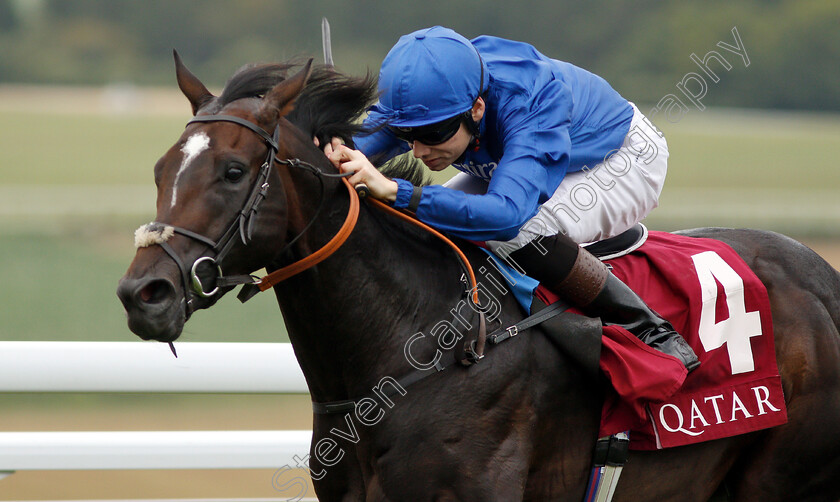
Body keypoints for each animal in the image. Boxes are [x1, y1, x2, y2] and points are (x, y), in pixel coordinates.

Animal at [116, 53, 840, 500]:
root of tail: (820, 274)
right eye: (157, 169)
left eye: (234, 171)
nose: (143, 293)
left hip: (777, 478)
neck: (415, 346)